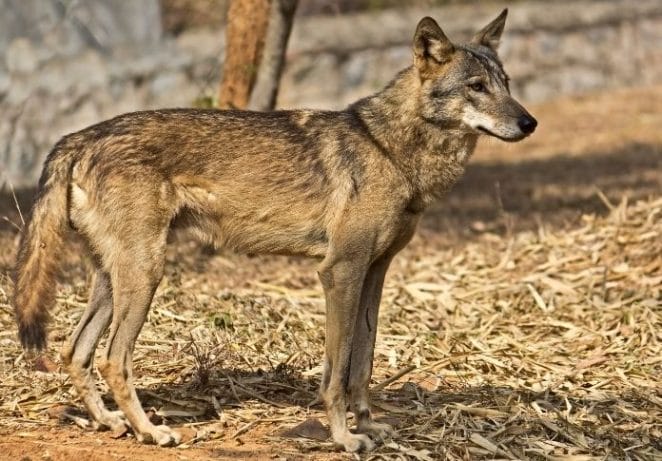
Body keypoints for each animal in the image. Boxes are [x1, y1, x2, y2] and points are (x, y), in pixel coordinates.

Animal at [13, 9, 536, 452]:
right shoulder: (339, 272)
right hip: (144, 276)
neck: (389, 150)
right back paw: (151, 432)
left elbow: (362, 364)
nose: (529, 122)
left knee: (74, 351)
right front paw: (344, 438)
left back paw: (109, 423)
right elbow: (337, 372)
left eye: (506, 84)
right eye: (476, 87)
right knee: (111, 359)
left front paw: (370, 426)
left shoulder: (374, 273)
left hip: (115, 280)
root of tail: (80, 136)